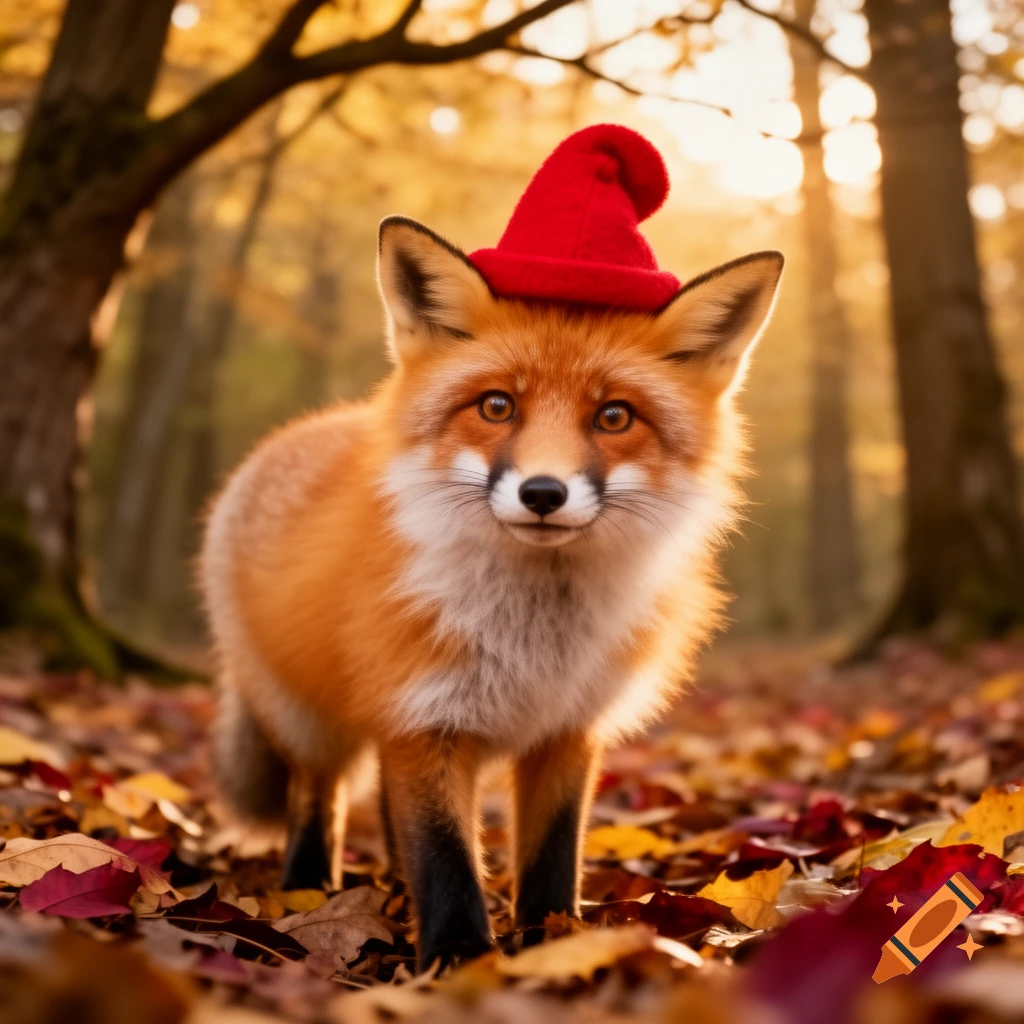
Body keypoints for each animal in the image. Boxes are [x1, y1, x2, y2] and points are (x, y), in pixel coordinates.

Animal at [201, 214, 783, 971]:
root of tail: (296, 431)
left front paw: (552, 938)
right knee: (316, 797)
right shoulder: (425, 716)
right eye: (498, 406)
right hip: (306, 715)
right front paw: (460, 957)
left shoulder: (568, 728)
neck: (536, 635)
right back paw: (306, 889)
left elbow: (551, 854)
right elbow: (445, 855)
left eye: (614, 417)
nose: (543, 493)